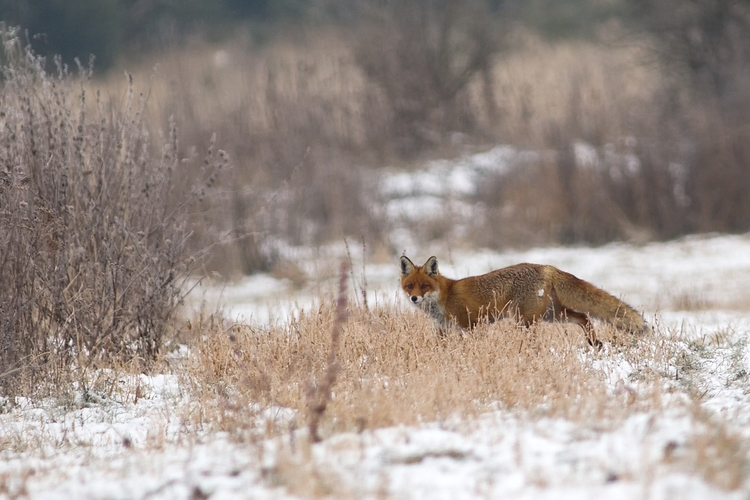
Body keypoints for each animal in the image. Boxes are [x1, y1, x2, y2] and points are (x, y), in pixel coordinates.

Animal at [400, 256, 652, 346]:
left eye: (424, 286)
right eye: (410, 286)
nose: (414, 298)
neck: (445, 295)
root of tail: (546, 267)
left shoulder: (470, 325)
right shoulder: (443, 330)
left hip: (525, 320)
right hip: (553, 315)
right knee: (584, 316)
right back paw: (594, 343)